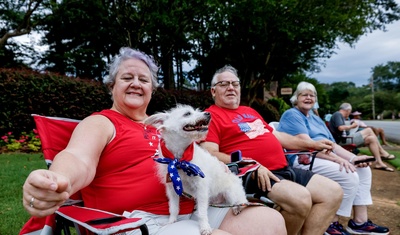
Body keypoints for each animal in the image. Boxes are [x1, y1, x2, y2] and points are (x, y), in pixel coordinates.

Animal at [145, 104, 247, 235]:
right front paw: (171, 221)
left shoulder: (201, 189)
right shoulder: (172, 189)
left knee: (240, 201)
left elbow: (202, 212)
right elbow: (173, 208)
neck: (180, 160)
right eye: (187, 114)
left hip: (231, 193)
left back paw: (237, 207)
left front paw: (204, 227)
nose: (208, 113)